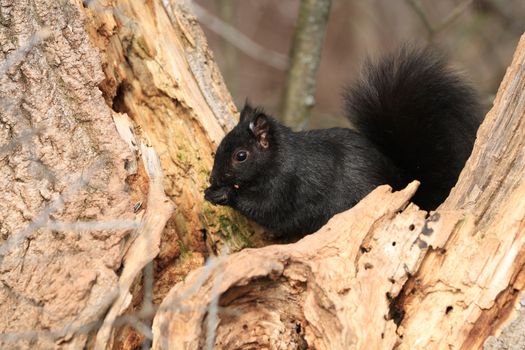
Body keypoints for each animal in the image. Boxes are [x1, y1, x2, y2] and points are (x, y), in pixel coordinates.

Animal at [203, 47, 482, 238]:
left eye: (241, 156)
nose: (214, 178)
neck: (280, 158)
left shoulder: (286, 184)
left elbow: (265, 208)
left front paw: (222, 194)